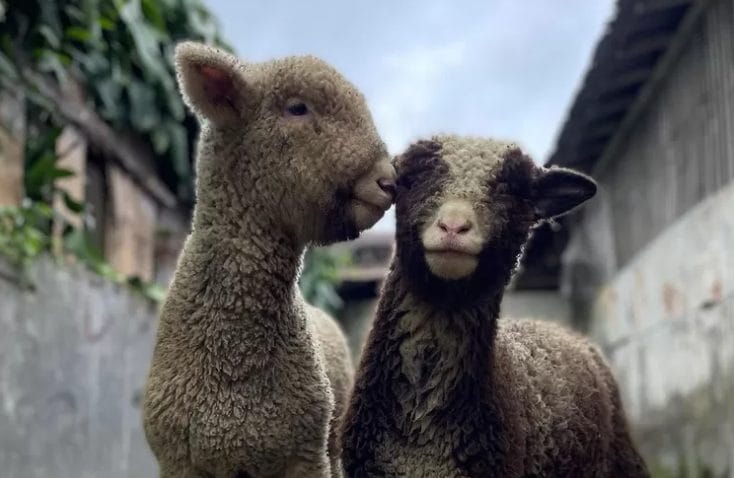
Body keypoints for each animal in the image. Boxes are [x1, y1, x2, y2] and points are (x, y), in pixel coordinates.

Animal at [144, 42, 396, 478]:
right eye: (297, 108)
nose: (389, 181)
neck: (234, 360)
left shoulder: (305, 456)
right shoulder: (179, 461)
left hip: (333, 439)